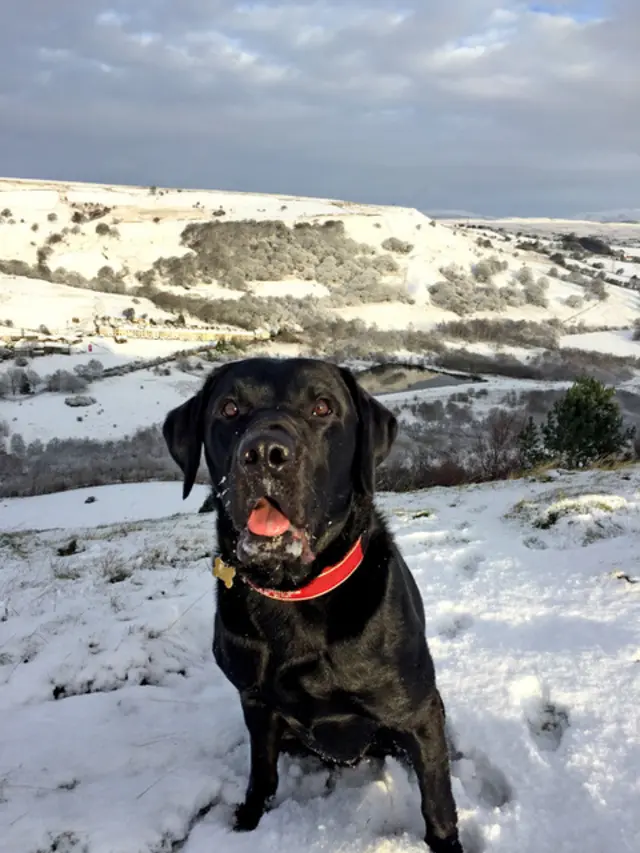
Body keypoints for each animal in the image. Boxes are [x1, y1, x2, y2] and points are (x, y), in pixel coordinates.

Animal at [164, 356, 464, 848]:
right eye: (229, 409)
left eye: (322, 407)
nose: (265, 452)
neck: (293, 593)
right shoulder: (257, 705)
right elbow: (262, 774)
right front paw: (247, 822)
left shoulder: (418, 713)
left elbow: (437, 802)